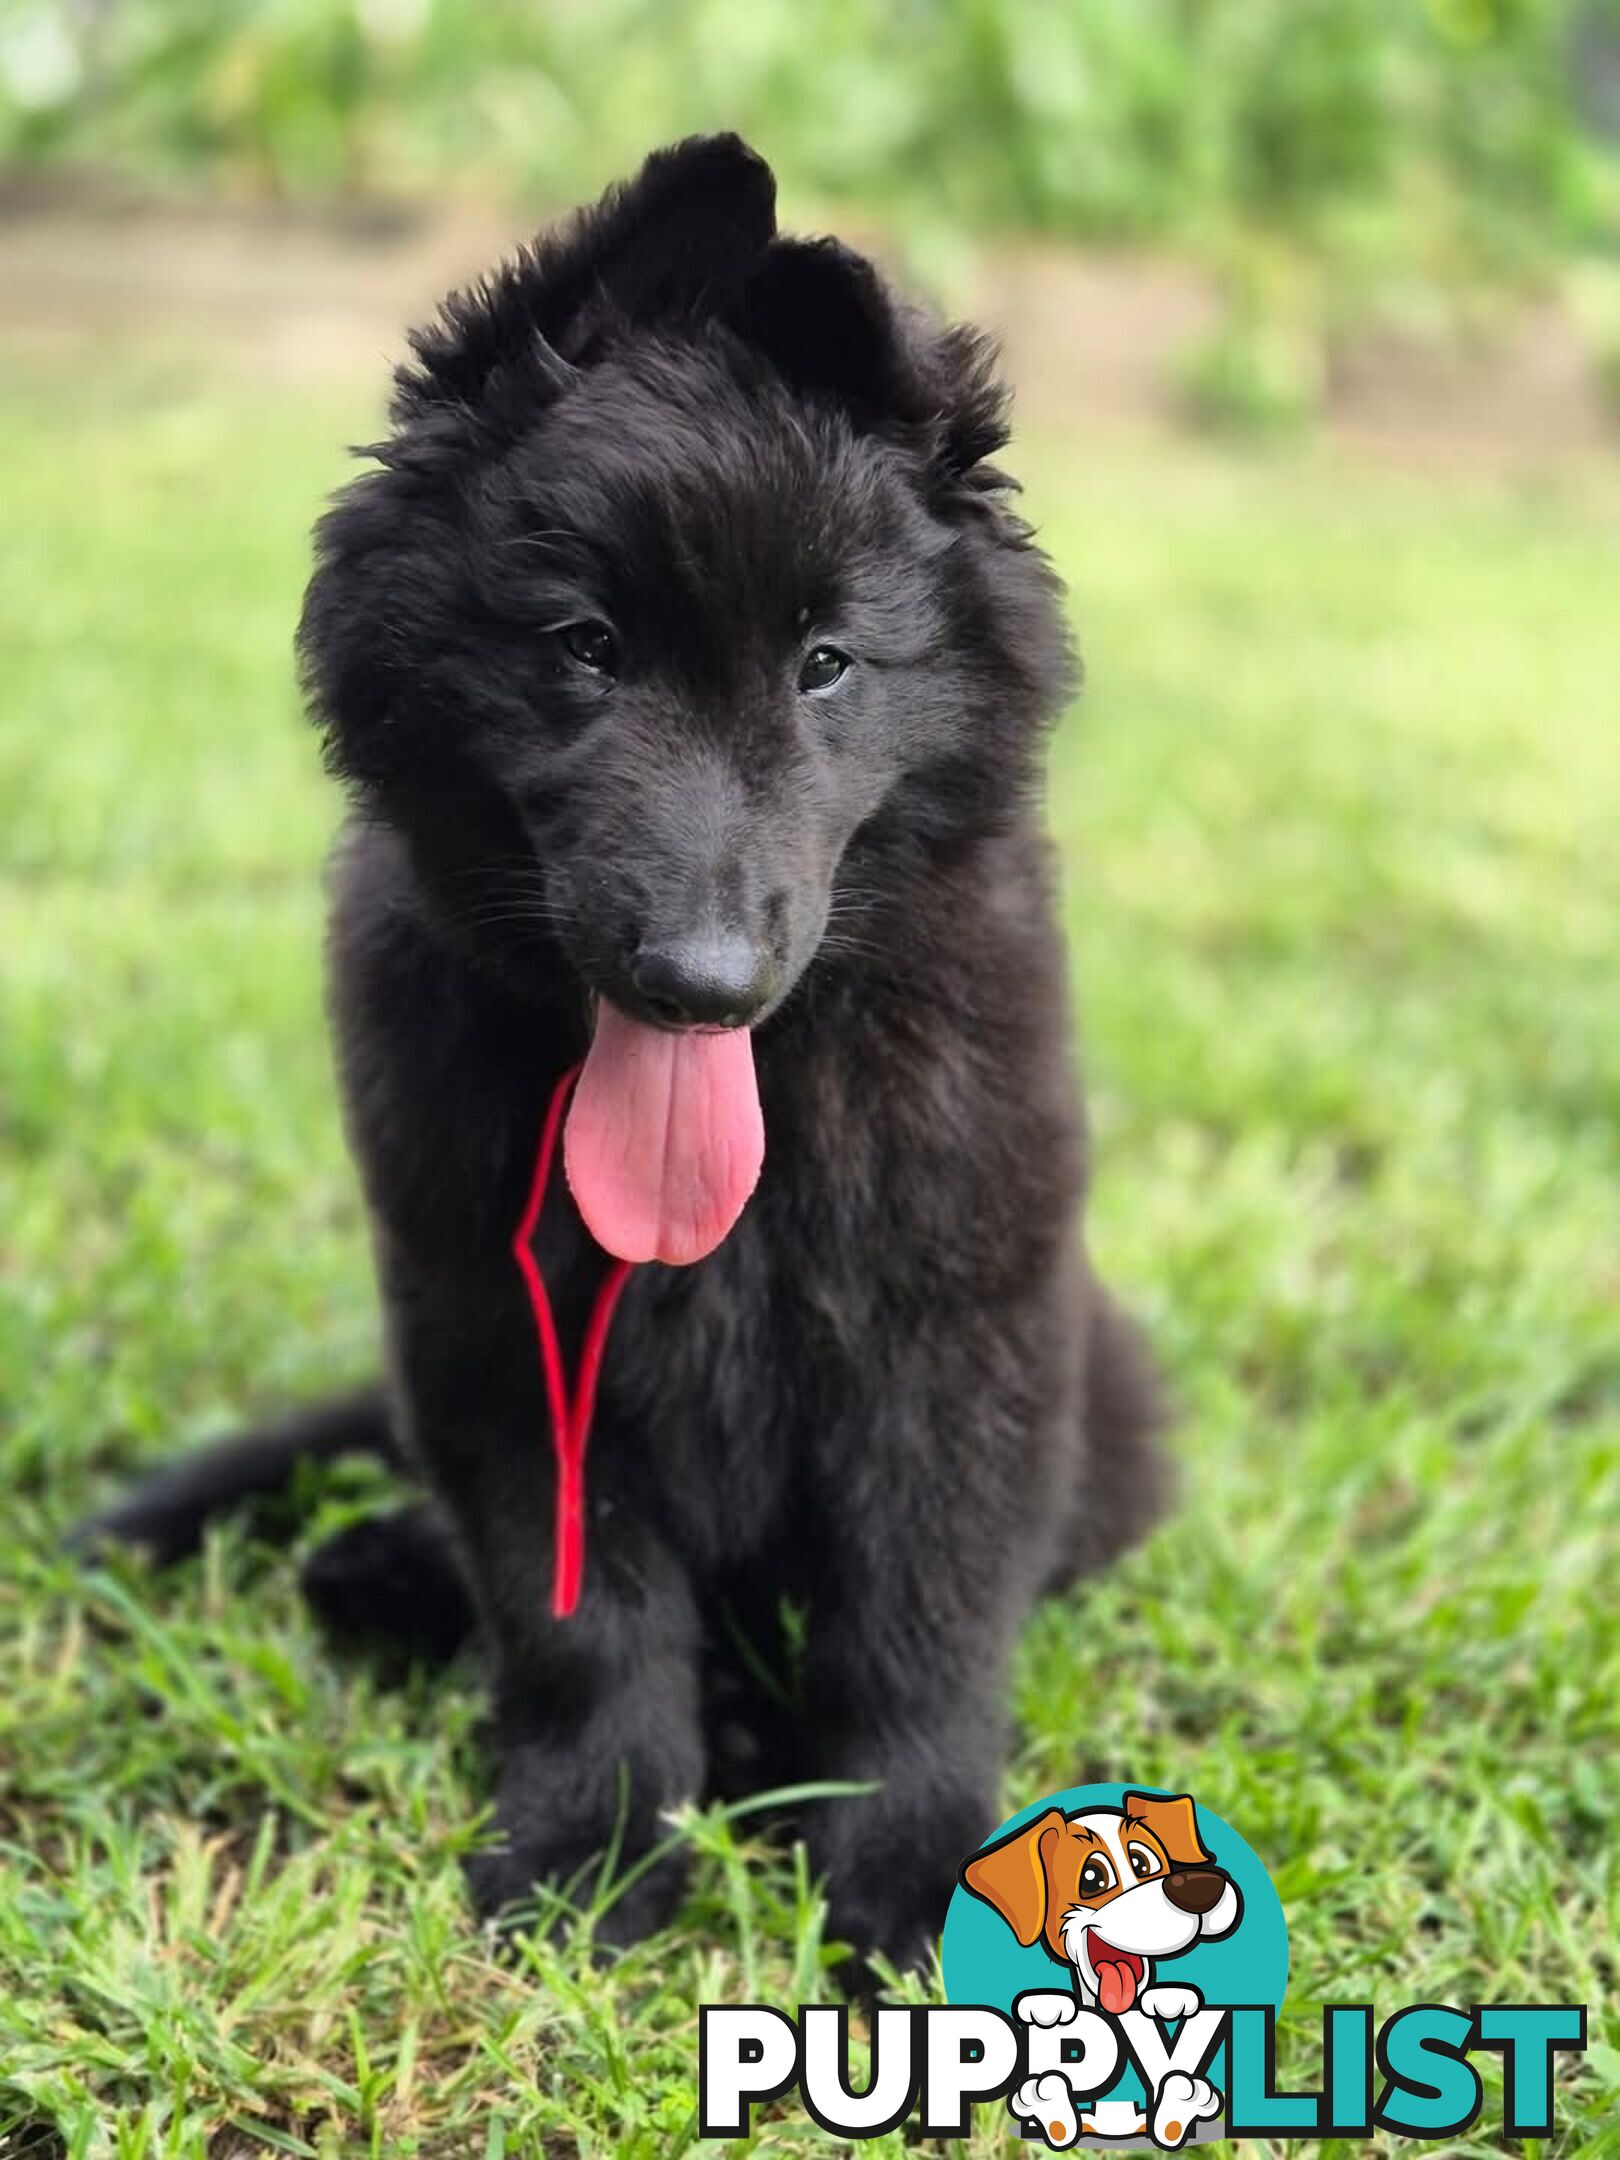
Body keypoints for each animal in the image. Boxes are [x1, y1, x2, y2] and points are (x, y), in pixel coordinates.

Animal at [82, 135, 1166, 1978]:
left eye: (826, 665)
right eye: (585, 644)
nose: (699, 982)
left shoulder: (957, 1340)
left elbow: (916, 1631)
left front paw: (914, 1878)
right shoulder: (490, 1329)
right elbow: (581, 1624)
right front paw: (592, 1852)